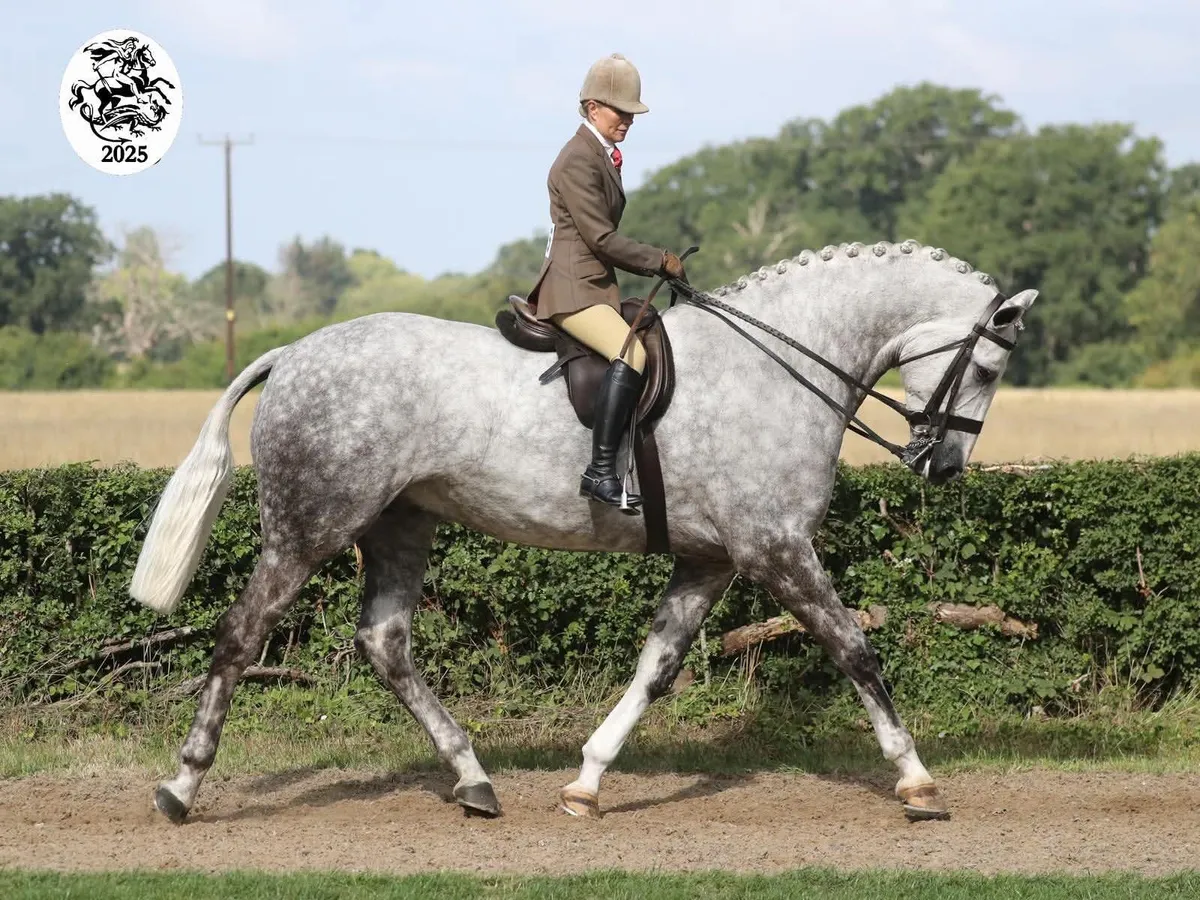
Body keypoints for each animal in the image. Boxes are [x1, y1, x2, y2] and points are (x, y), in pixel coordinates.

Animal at [128, 238, 1037, 825]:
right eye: (991, 367)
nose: (942, 465)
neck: (776, 366)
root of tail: (291, 353)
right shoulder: (777, 549)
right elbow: (857, 651)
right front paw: (917, 782)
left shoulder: (712, 559)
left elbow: (656, 668)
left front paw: (587, 783)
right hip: (310, 526)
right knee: (242, 635)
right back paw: (182, 787)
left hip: (400, 525)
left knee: (384, 644)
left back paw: (473, 780)